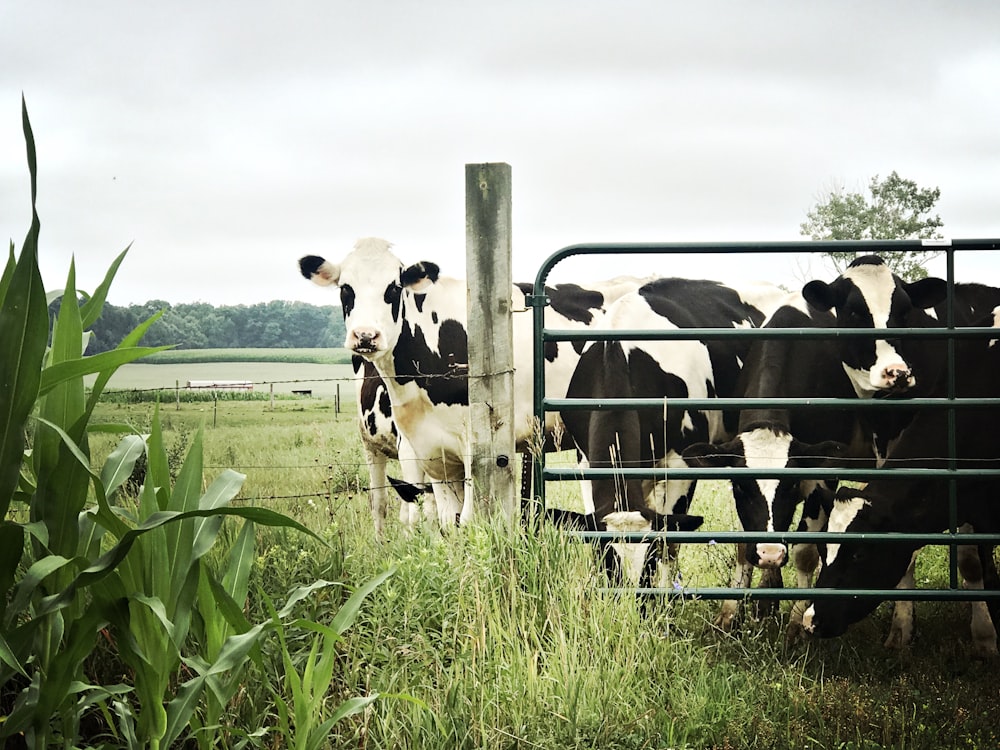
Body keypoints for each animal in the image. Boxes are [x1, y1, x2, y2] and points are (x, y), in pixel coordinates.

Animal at [300, 238, 652, 532]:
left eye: (394, 288)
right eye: (346, 289)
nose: (366, 336)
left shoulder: (472, 446)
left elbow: (466, 518)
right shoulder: (429, 449)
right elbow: (440, 519)